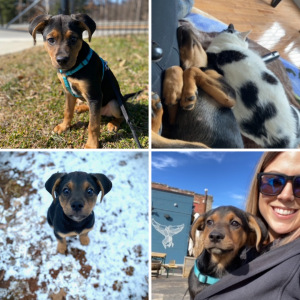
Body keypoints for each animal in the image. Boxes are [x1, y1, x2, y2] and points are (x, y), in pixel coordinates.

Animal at [28, 14, 134, 149]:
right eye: (51, 40)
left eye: (73, 38)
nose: (62, 60)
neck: (72, 69)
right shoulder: (68, 92)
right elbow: (67, 111)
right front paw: (64, 127)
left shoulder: (94, 95)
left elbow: (93, 125)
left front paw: (92, 145)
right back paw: (81, 108)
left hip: (115, 102)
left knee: (123, 116)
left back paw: (113, 123)